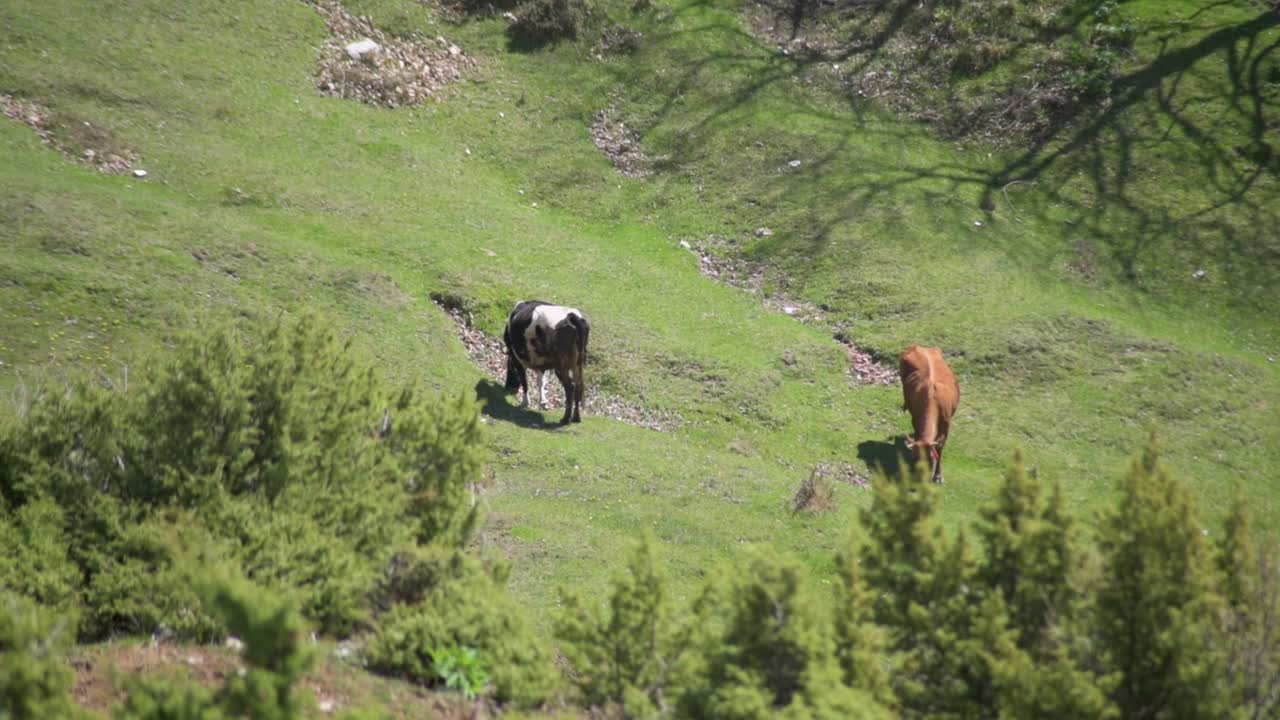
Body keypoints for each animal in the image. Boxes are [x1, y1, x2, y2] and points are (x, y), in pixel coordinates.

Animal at [899, 344, 959, 484]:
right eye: (915, 458)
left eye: (931, 459)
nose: (919, 478)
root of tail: (920, 347)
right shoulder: (915, 419)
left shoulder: (946, 426)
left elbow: (940, 449)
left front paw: (938, 475)